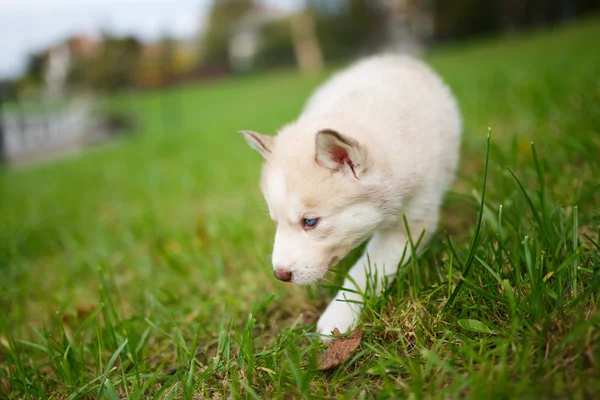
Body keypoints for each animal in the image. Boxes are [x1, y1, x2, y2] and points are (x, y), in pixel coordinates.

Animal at [241, 54, 462, 338]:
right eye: (275, 221)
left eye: (310, 222)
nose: (280, 274)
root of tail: (390, 58)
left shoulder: (412, 218)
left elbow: (368, 269)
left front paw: (339, 314)